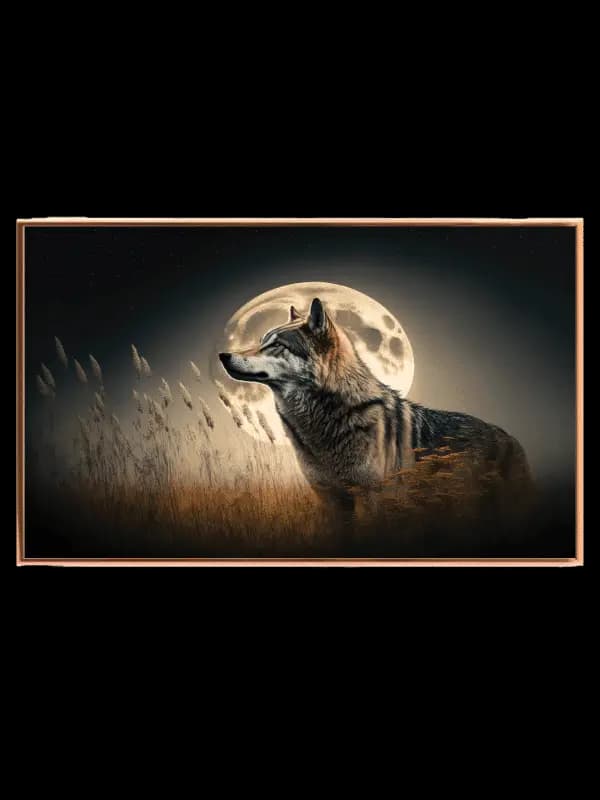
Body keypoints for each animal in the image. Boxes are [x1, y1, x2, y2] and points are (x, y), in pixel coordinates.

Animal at [219, 298, 532, 521]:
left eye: (276, 346)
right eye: (261, 341)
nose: (223, 355)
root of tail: (508, 436)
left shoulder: (370, 498)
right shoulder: (331, 501)